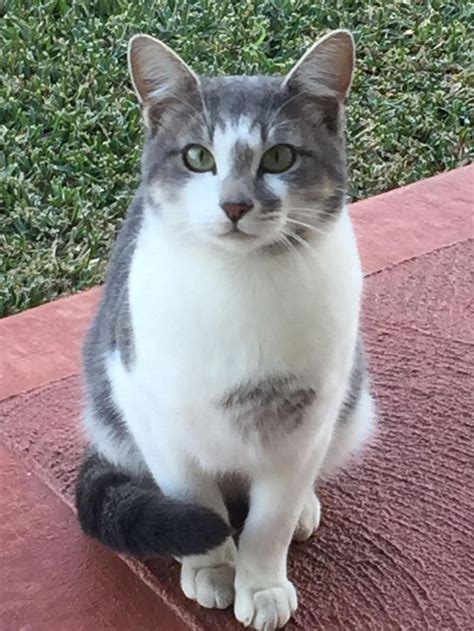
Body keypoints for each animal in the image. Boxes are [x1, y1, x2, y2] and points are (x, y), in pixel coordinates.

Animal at [76, 30, 376, 631]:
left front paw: (261, 585)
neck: (242, 286)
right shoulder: (150, 407)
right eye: (198, 157)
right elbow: (196, 500)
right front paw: (212, 567)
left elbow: (270, 518)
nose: (235, 204)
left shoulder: (309, 419)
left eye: (280, 156)